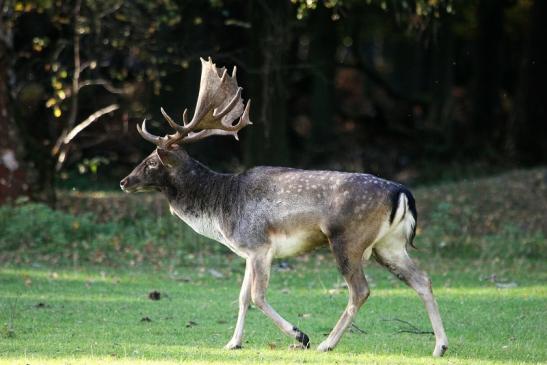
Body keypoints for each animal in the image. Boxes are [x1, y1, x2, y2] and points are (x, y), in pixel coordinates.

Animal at [120, 57, 450, 356]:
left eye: (151, 162)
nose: (124, 181)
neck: (221, 208)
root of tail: (402, 192)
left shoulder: (259, 245)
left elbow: (257, 296)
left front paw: (300, 336)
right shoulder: (247, 251)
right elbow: (242, 297)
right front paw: (233, 343)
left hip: (349, 239)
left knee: (361, 290)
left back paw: (327, 343)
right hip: (389, 245)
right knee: (423, 280)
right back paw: (440, 346)